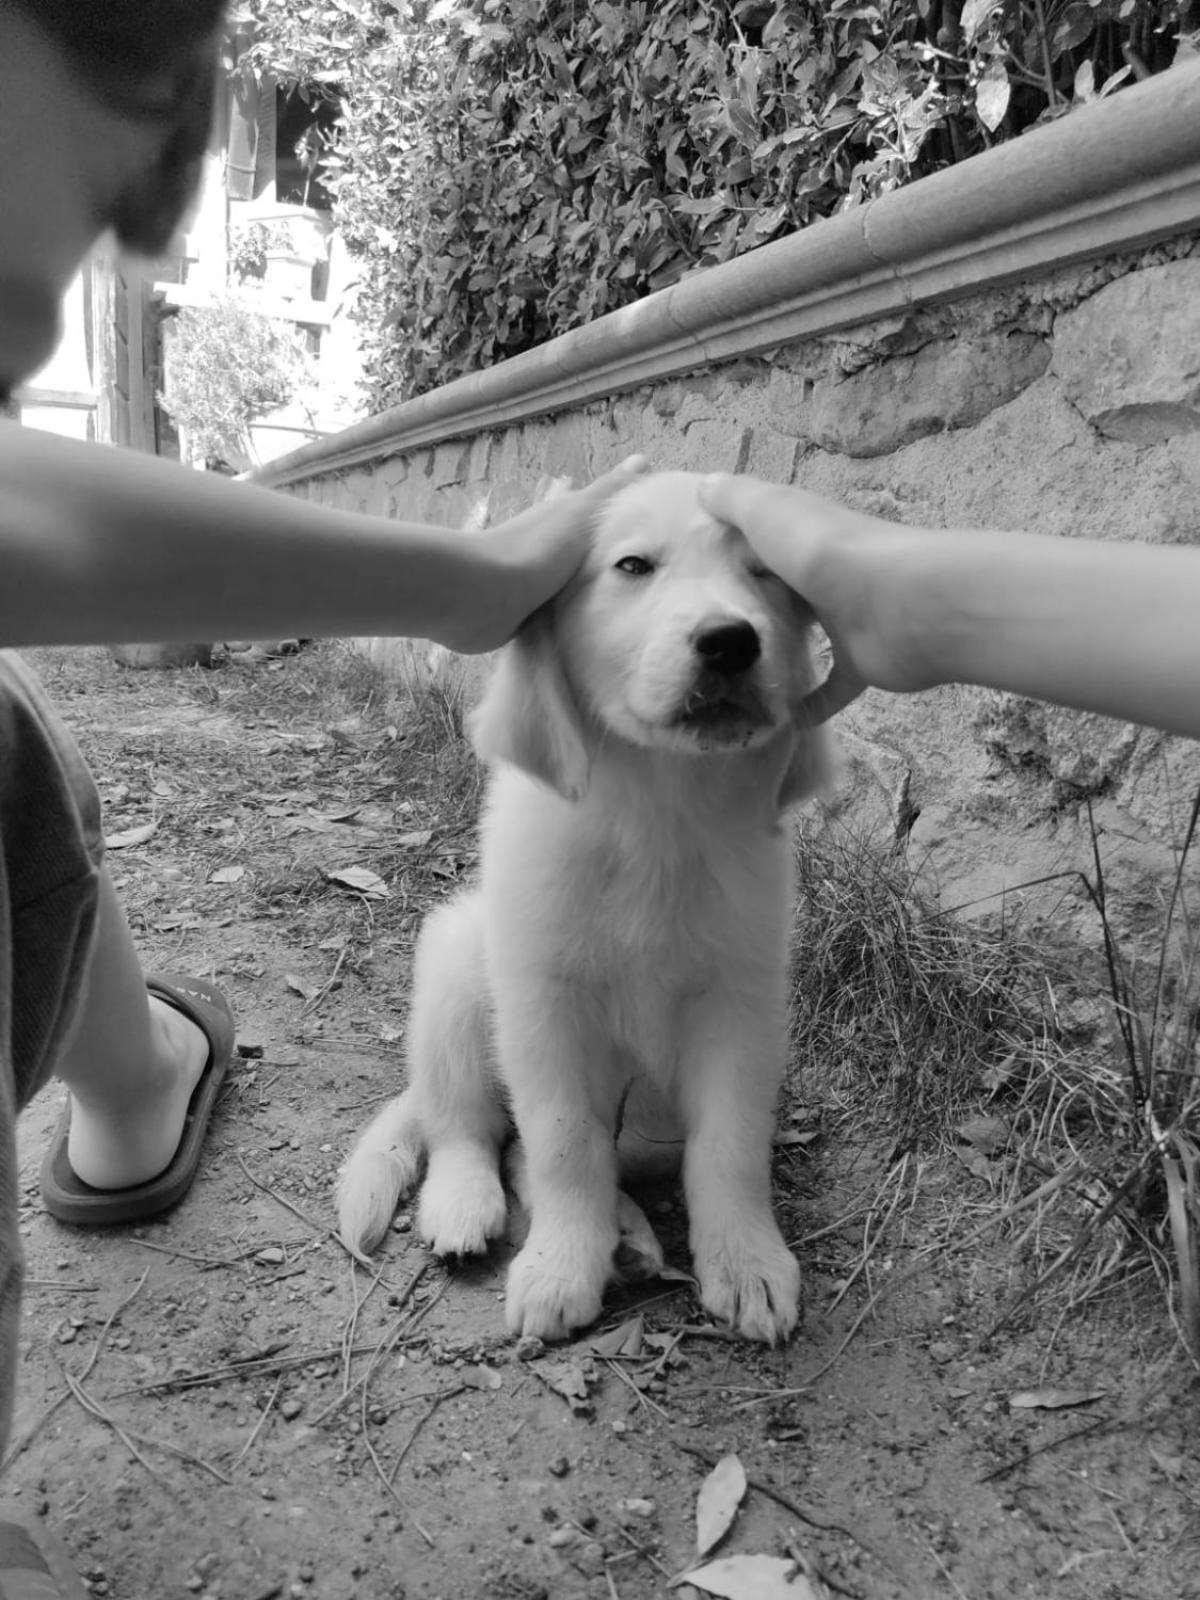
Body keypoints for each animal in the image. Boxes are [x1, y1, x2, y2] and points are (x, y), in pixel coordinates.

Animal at [334, 467, 832, 1344]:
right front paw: (564, 1264)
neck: (658, 810)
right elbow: (565, 1145)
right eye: (632, 566)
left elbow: (731, 1145)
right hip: (457, 970)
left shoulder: (741, 1004)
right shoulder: (545, 1006)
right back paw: (469, 1206)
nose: (731, 641)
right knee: (469, 1128)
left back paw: (628, 1237)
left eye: (765, 573)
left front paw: (746, 1261)